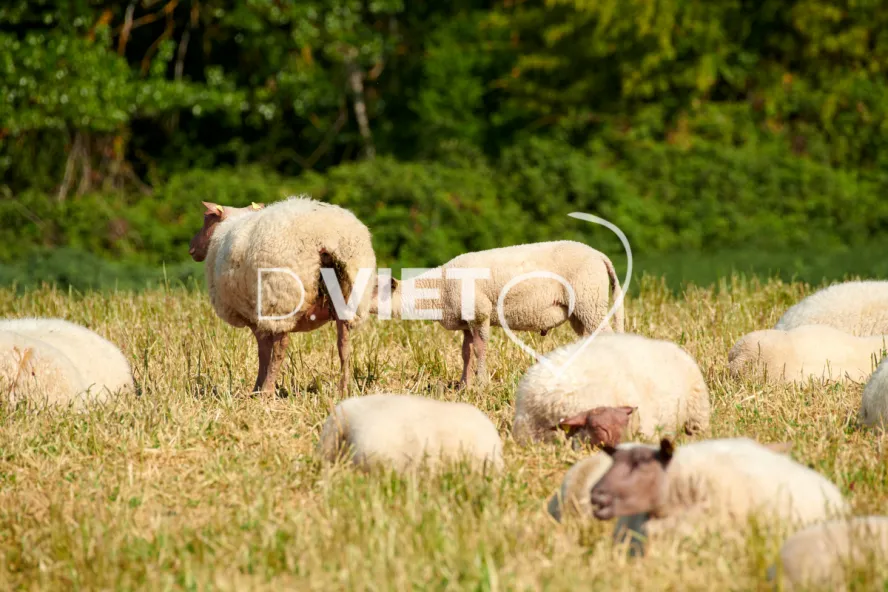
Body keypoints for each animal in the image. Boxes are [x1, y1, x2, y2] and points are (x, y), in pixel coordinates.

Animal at [189, 196, 376, 395]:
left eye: (206, 218)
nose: (191, 248)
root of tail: (326, 238)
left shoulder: (256, 316)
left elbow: (263, 351)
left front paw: (257, 388)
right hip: (349, 295)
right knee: (344, 344)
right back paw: (343, 388)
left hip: (280, 298)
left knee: (281, 347)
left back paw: (267, 391)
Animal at [374, 240, 623, 388]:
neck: (439, 286)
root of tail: (600, 255)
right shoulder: (466, 321)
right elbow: (465, 352)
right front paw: (464, 385)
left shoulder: (480, 312)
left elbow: (479, 349)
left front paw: (481, 383)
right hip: (579, 312)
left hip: (589, 300)